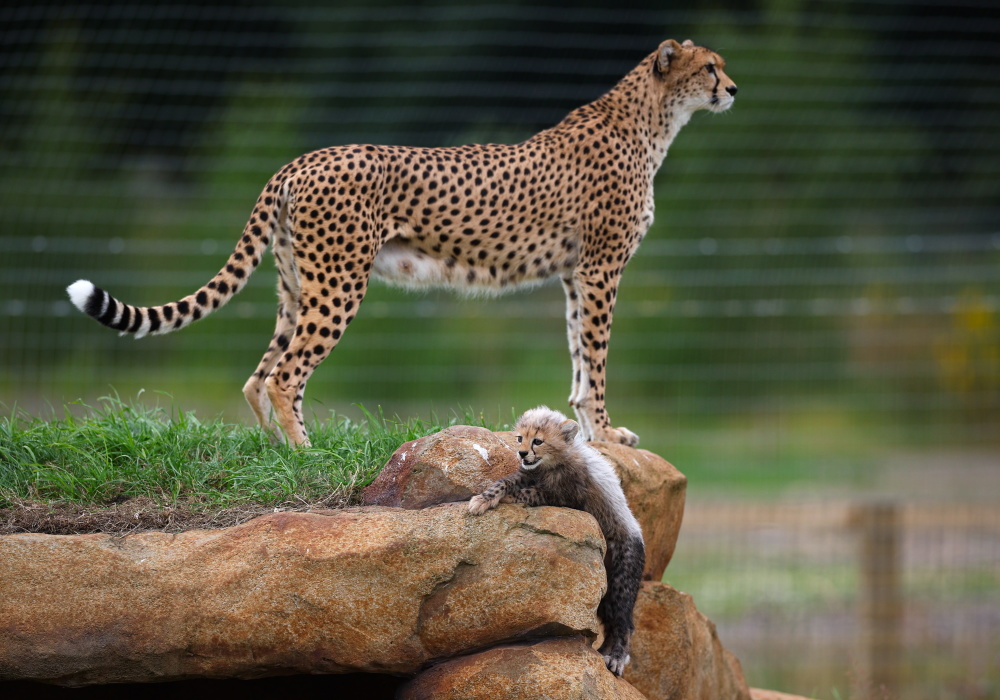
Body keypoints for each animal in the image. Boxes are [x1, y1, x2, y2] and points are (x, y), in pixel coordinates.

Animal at [68, 38, 736, 446]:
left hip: (296, 284)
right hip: (339, 282)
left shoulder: (577, 273)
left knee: (259, 376)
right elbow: (594, 361)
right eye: (710, 66)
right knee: (285, 374)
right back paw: (307, 453)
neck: (652, 120)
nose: (732, 90)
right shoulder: (601, 268)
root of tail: (299, 160)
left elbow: (578, 357)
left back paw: (279, 454)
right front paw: (607, 433)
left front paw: (594, 432)